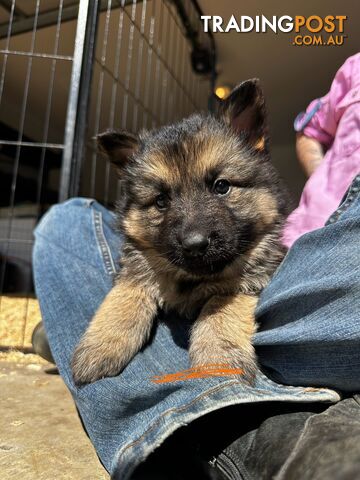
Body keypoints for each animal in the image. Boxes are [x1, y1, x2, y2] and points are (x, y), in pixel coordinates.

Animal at [71, 79, 288, 386]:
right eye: (161, 201)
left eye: (222, 186)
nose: (194, 245)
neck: (192, 280)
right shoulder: (136, 267)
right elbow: (125, 294)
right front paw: (101, 344)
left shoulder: (254, 279)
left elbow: (221, 306)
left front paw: (219, 358)